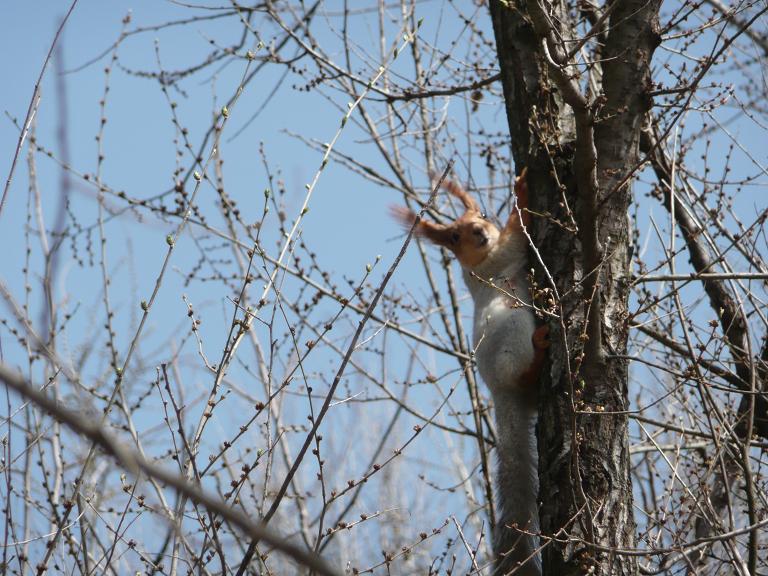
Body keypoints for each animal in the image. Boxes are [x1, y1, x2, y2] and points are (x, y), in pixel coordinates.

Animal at [392, 169, 548, 572]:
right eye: (453, 236)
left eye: (481, 216)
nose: (480, 232)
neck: (481, 259)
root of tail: (501, 397)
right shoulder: (495, 262)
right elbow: (517, 233)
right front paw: (520, 189)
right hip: (512, 334)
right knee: (523, 371)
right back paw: (539, 353)